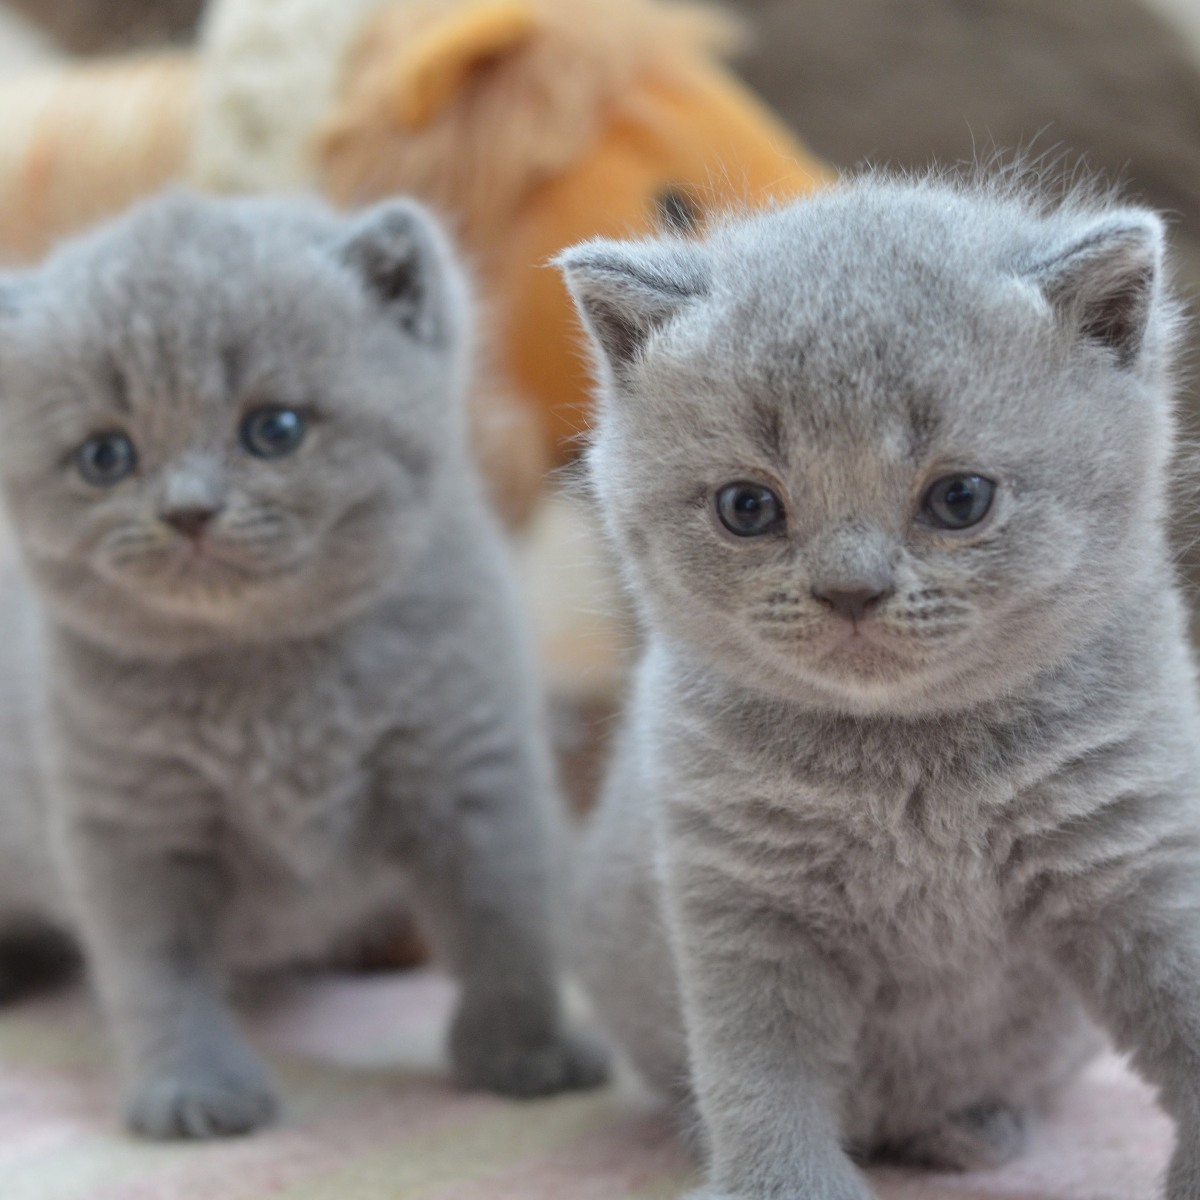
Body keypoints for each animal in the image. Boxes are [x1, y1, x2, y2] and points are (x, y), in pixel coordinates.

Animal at [0, 192, 604, 1137]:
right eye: (105, 456)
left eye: (274, 429)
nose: (189, 511)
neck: (271, 683)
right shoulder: (128, 822)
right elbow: (155, 969)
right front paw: (194, 1088)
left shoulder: (472, 763)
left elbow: (504, 919)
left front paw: (526, 1053)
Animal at [554, 177, 1200, 1200]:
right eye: (747, 507)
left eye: (960, 499)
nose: (849, 589)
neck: (908, 768)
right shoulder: (746, 899)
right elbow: (759, 1071)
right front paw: (778, 1183)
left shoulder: (1133, 850)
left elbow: (1183, 1006)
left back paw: (971, 1127)